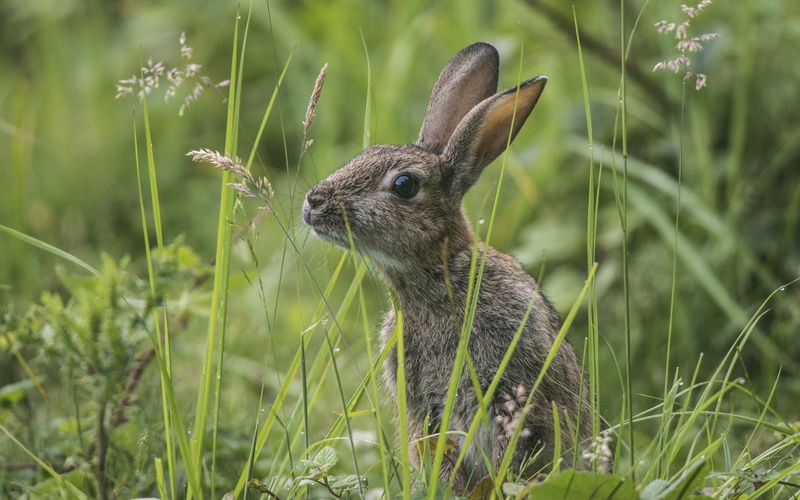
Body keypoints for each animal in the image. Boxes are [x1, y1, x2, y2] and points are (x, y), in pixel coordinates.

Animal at [302, 42, 599, 493]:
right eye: (365, 154)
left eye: (404, 185)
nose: (313, 203)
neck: (438, 277)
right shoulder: (423, 410)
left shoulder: (515, 388)